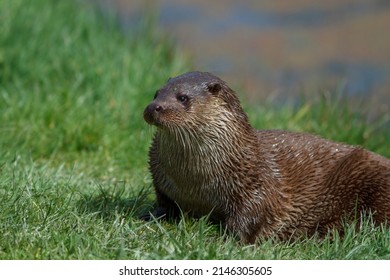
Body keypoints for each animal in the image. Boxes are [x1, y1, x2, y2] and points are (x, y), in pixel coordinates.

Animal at [143, 71, 390, 244]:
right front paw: (151, 215)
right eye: (156, 93)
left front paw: (223, 239)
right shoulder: (160, 177)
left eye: (183, 97)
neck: (194, 183)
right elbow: (164, 202)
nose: (154, 107)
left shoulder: (254, 185)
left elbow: (250, 217)